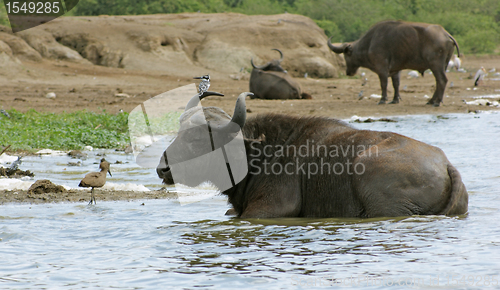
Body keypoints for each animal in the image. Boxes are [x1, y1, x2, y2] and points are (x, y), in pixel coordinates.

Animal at [157, 90, 468, 218]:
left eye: (198, 138)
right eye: (179, 130)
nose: (163, 168)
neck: (258, 154)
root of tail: (446, 164)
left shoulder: (269, 210)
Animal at [328, 20, 460, 106]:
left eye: (346, 55)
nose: (348, 72)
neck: (369, 43)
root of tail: (445, 33)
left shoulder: (382, 68)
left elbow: (384, 84)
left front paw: (382, 100)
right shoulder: (396, 70)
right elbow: (396, 84)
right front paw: (395, 100)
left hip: (435, 64)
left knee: (442, 80)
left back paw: (437, 102)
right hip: (443, 65)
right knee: (438, 81)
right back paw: (431, 100)